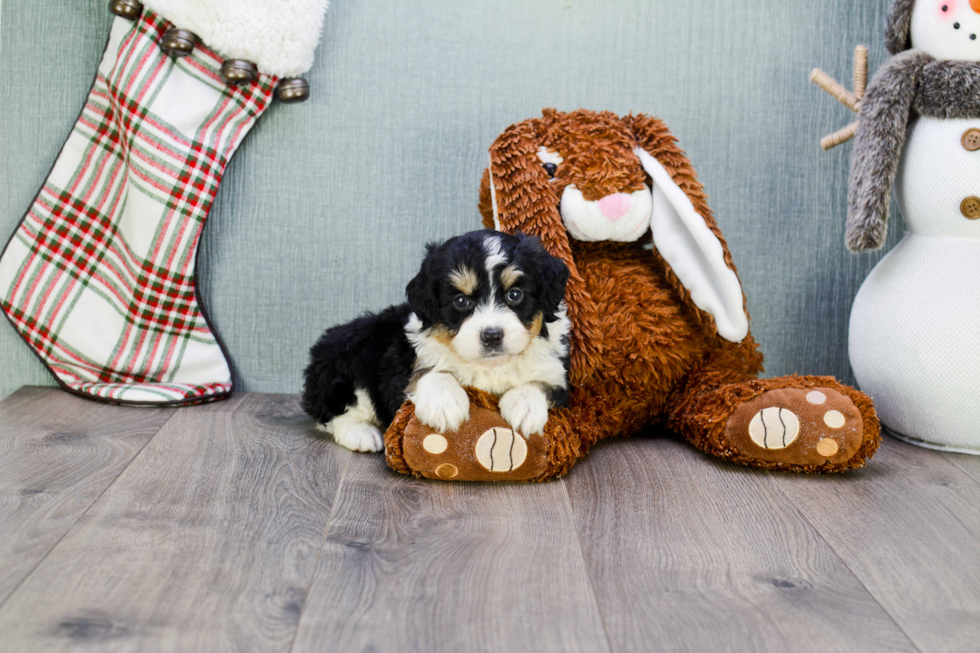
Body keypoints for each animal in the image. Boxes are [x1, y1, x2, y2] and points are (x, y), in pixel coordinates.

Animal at [302, 230, 572, 454]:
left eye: (515, 295)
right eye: (461, 301)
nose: (492, 335)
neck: (489, 366)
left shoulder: (560, 374)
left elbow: (544, 383)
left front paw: (524, 405)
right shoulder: (401, 362)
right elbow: (428, 371)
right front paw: (445, 403)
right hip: (354, 351)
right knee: (332, 412)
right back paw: (363, 434)